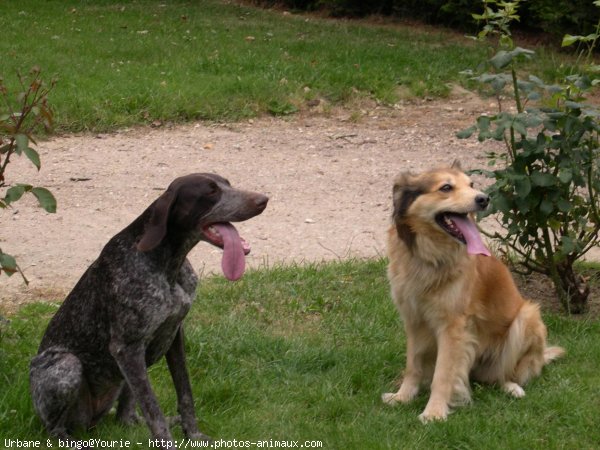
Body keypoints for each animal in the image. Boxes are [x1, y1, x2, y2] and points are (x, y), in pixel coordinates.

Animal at [29, 172, 270, 446]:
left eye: (227, 184)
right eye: (211, 192)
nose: (263, 200)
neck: (167, 264)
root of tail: (91, 422)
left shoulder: (174, 334)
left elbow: (185, 394)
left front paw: (193, 435)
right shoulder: (126, 348)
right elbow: (153, 410)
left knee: (124, 416)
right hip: (67, 366)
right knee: (54, 428)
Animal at [382, 164, 564, 422]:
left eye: (471, 184)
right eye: (446, 187)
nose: (484, 199)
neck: (429, 257)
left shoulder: (453, 327)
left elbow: (443, 373)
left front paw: (434, 412)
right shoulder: (414, 319)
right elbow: (413, 364)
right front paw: (403, 397)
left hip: (527, 317)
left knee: (504, 374)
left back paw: (512, 387)